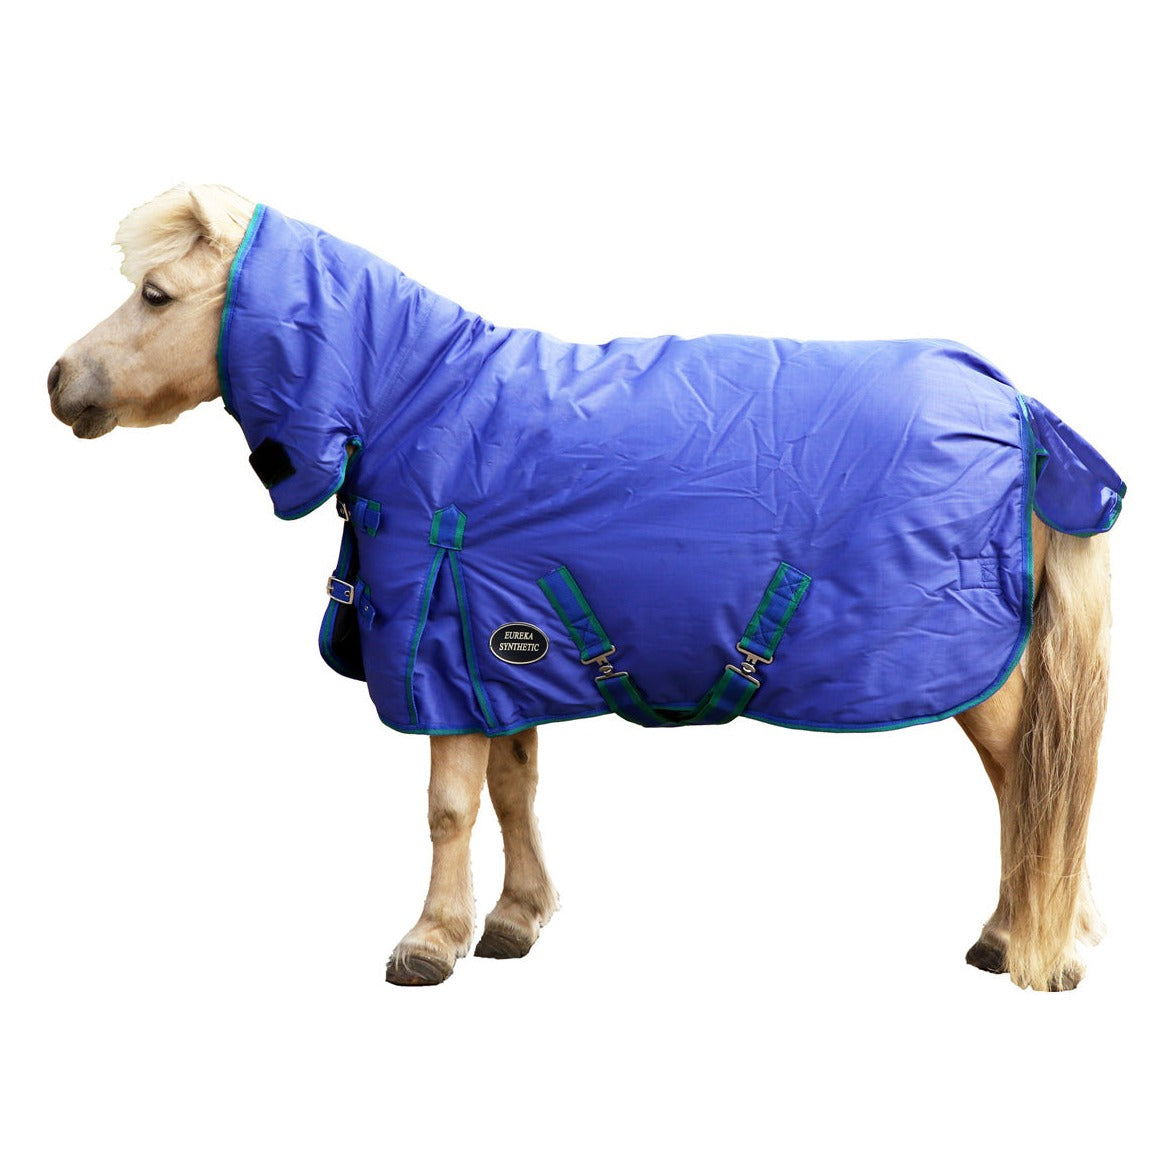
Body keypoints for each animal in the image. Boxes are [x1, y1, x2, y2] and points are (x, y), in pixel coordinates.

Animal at [47, 184, 1121, 992]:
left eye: (154, 294)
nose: (58, 381)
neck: (419, 400)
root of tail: (1015, 406)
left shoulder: (442, 656)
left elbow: (448, 805)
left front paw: (427, 941)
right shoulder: (494, 648)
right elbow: (513, 786)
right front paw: (514, 919)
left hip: (974, 671)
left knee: (1031, 781)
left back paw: (1043, 944)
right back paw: (1011, 934)